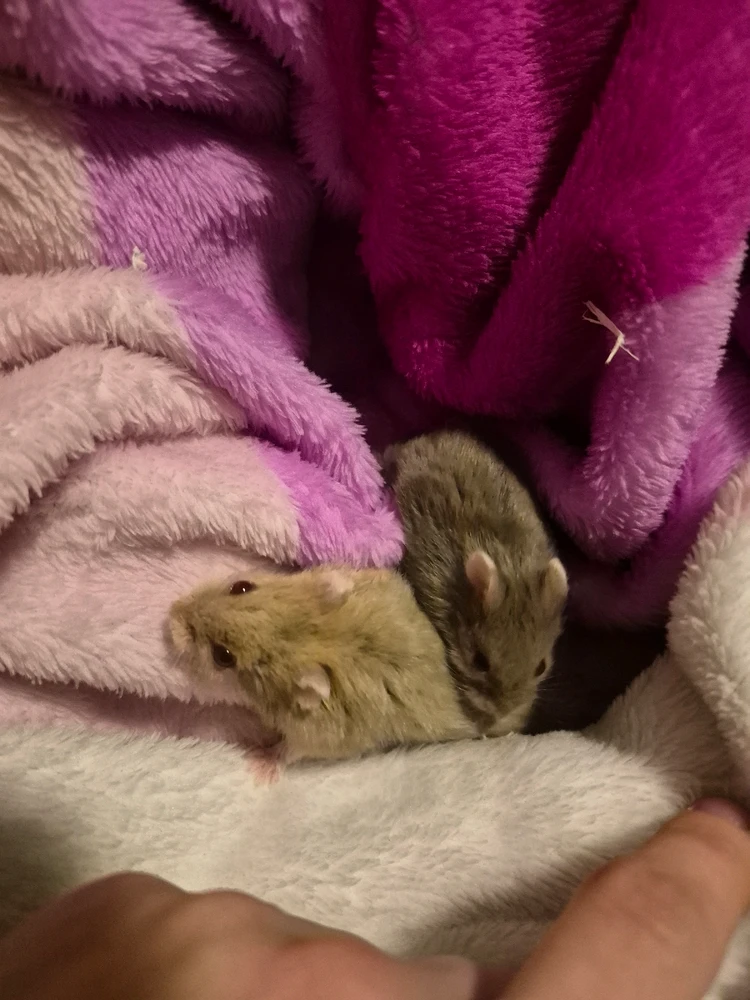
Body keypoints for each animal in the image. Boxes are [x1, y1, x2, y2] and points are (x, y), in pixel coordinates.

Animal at [169, 567, 476, 763]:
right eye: (241, 586)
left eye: (223, 656)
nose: (171, 613)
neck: (307, 636)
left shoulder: (316, 738)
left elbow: (289, 752)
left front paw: (259, 759)